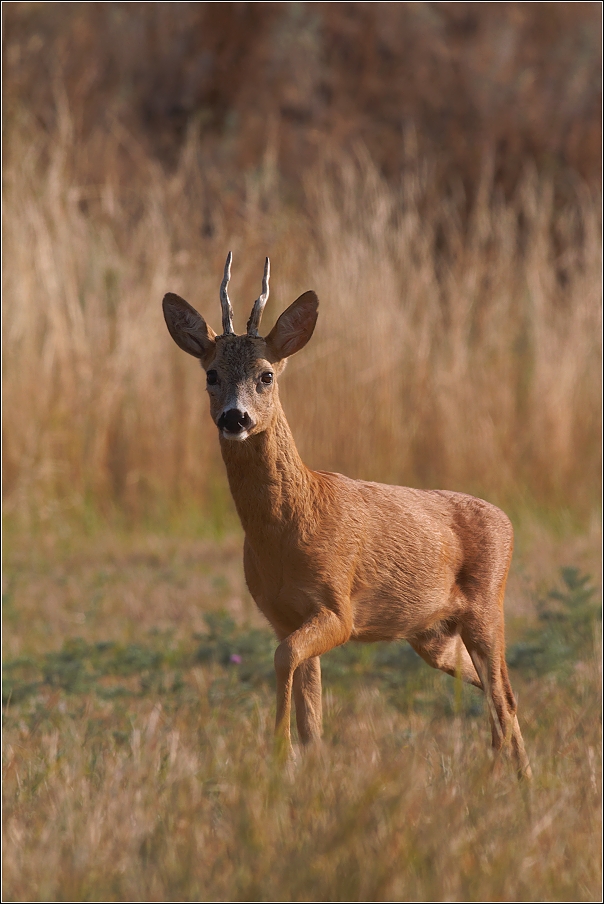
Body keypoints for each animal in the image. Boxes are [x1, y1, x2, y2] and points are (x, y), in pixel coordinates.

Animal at [163, 252, 532, 776]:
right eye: (211, 374)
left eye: (266, 375)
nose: (235, 418)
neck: (287, 532)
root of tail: (506, 520)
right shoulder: (280, 613)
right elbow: (309, 706)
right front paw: (304, 763)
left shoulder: (338, 607)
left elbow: (284, 659)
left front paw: (277, 752)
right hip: (432, 635)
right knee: (498, 696)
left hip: (486, 607)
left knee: (505, 696)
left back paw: (517, 784)